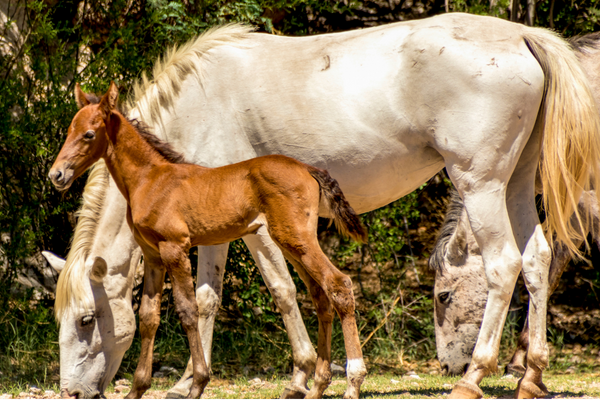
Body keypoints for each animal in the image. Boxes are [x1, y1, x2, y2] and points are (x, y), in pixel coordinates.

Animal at [50, 83, 370, 398]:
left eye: (89, 134)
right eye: (70, 130)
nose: (57, 174)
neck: (150, 179)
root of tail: (308, 169)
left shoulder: (175, 248)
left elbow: (188, 310)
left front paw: (197, 383)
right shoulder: (152, 255)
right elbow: (149, 317)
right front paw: (138, 389)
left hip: (296, 239)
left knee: (339, 285)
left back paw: (353, 382)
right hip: (292, 242)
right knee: (320, 296)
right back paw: (317, 385)